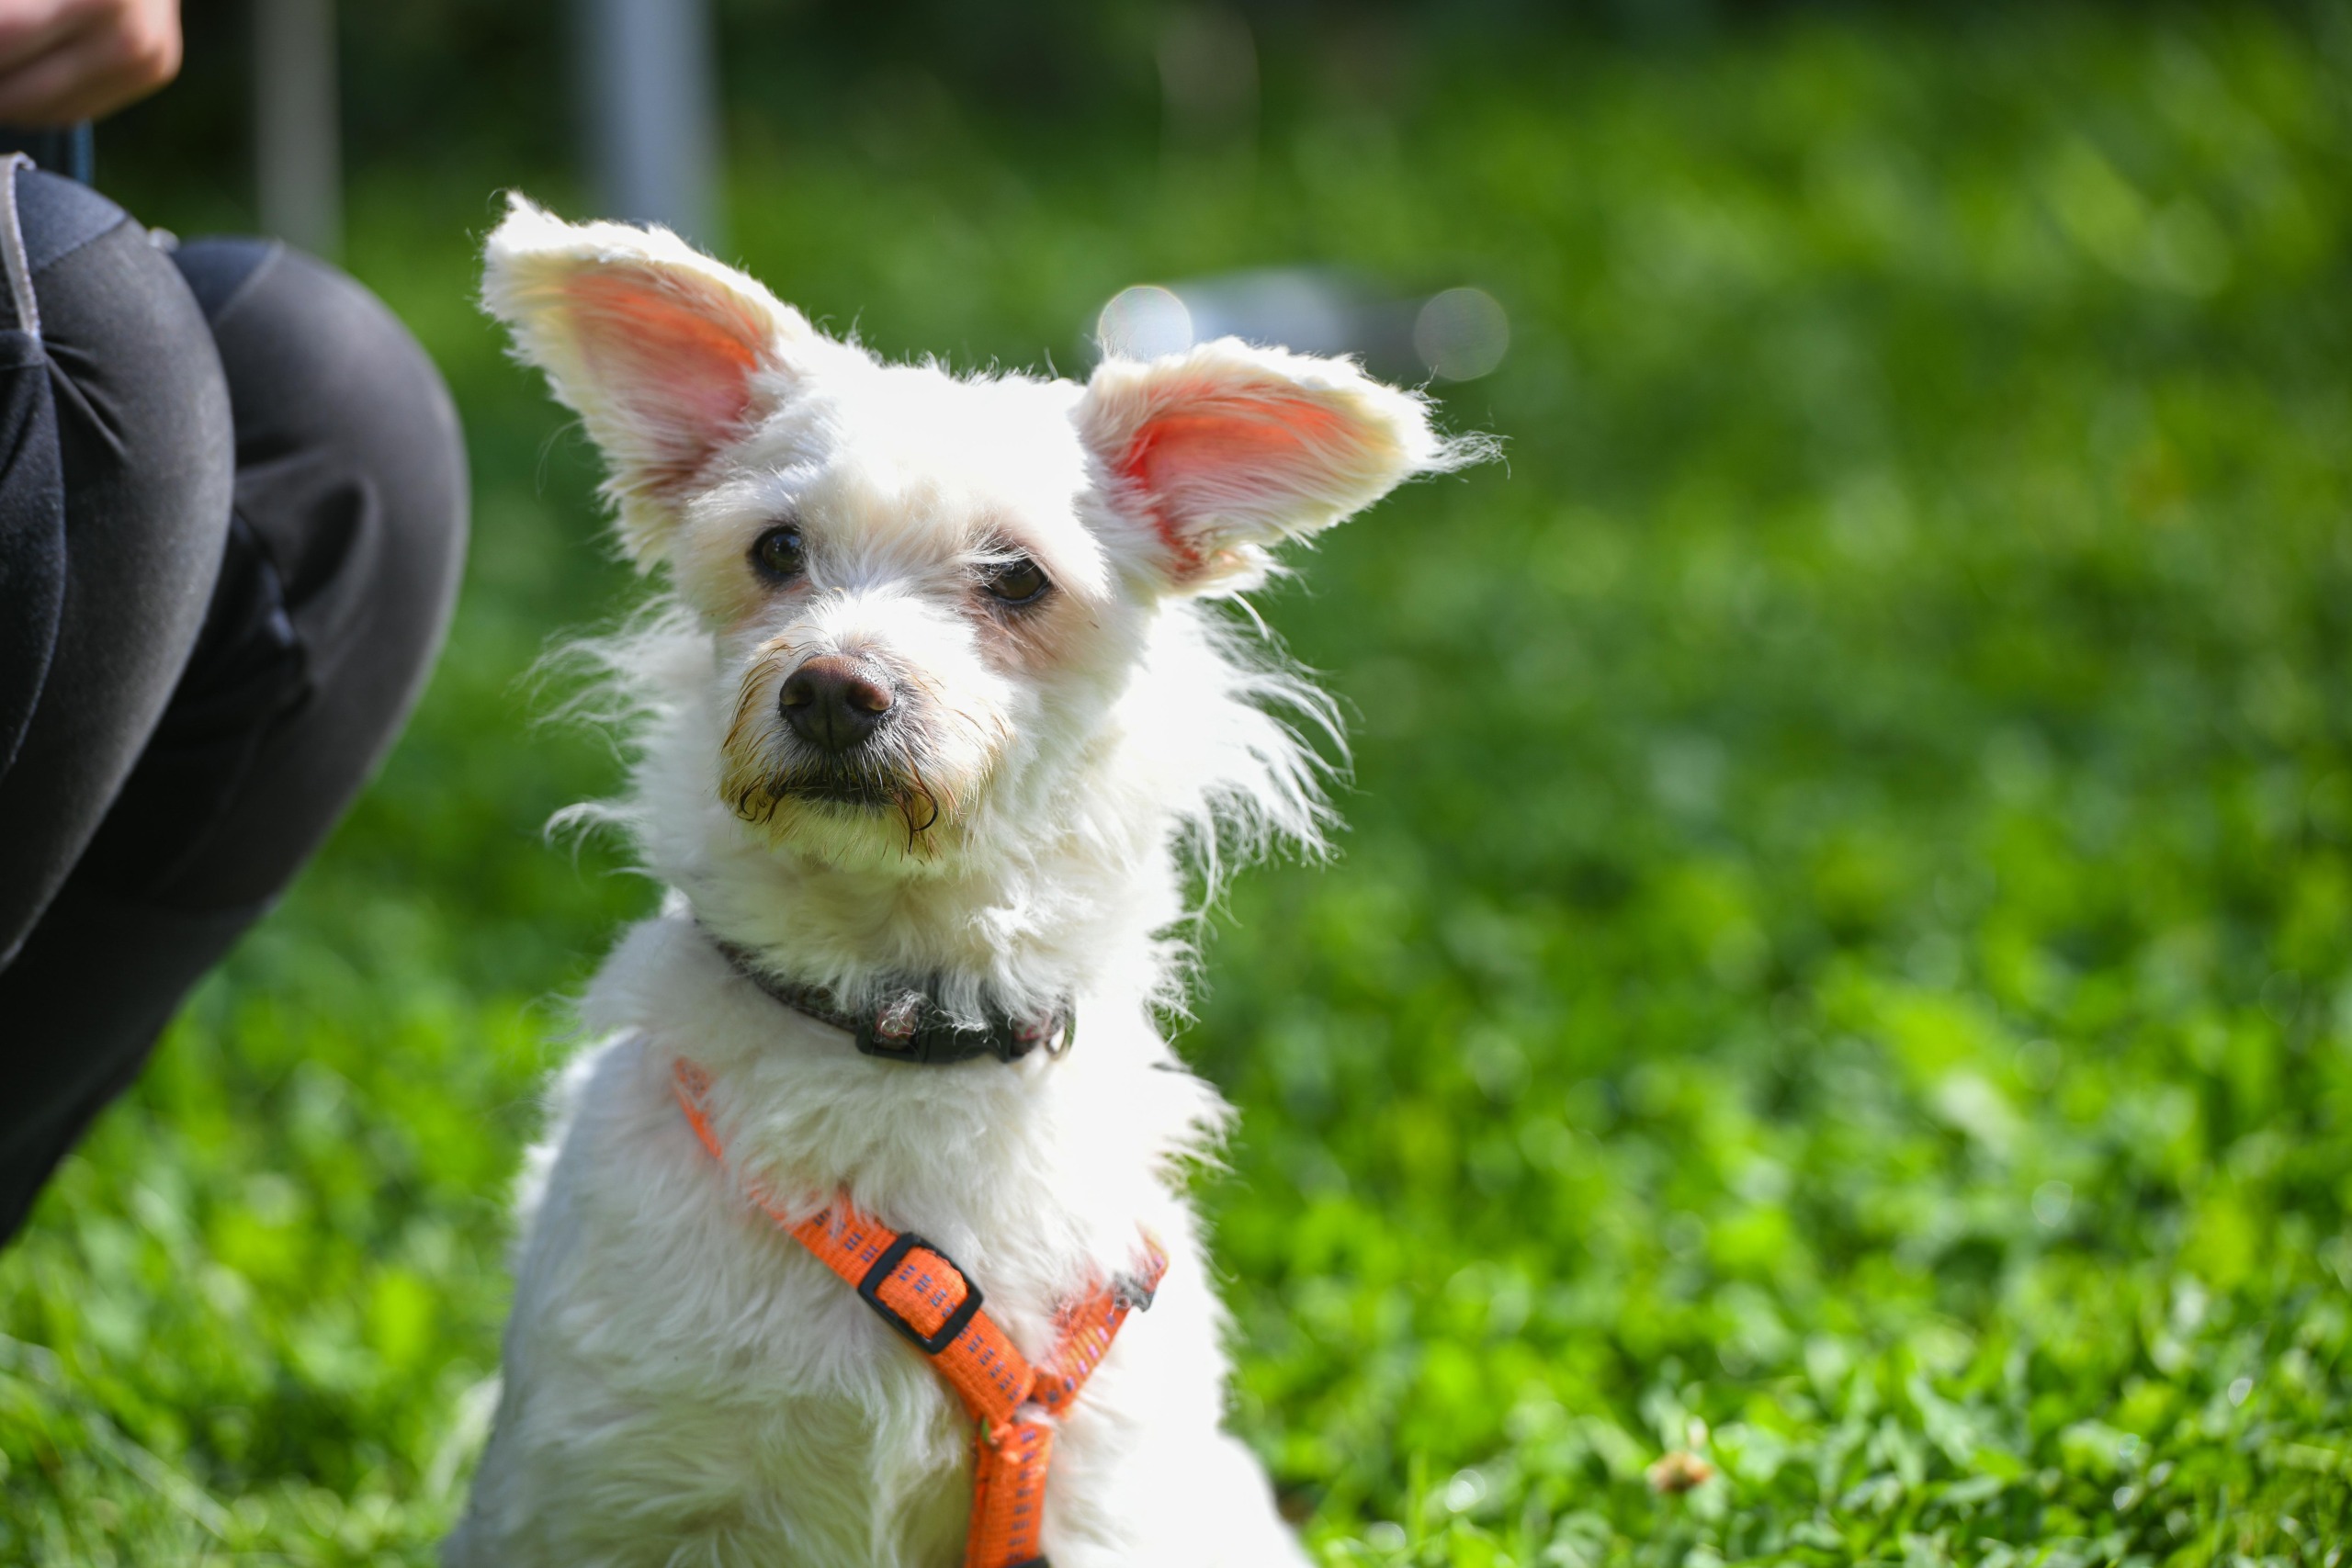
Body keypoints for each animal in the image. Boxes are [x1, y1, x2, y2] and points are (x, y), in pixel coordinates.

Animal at [446, 194, 1475, 1568]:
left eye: (1016, 577)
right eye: (776, 549)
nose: (832, 686)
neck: (902, 1018)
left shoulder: (1103, 1499)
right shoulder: (609, 1486)